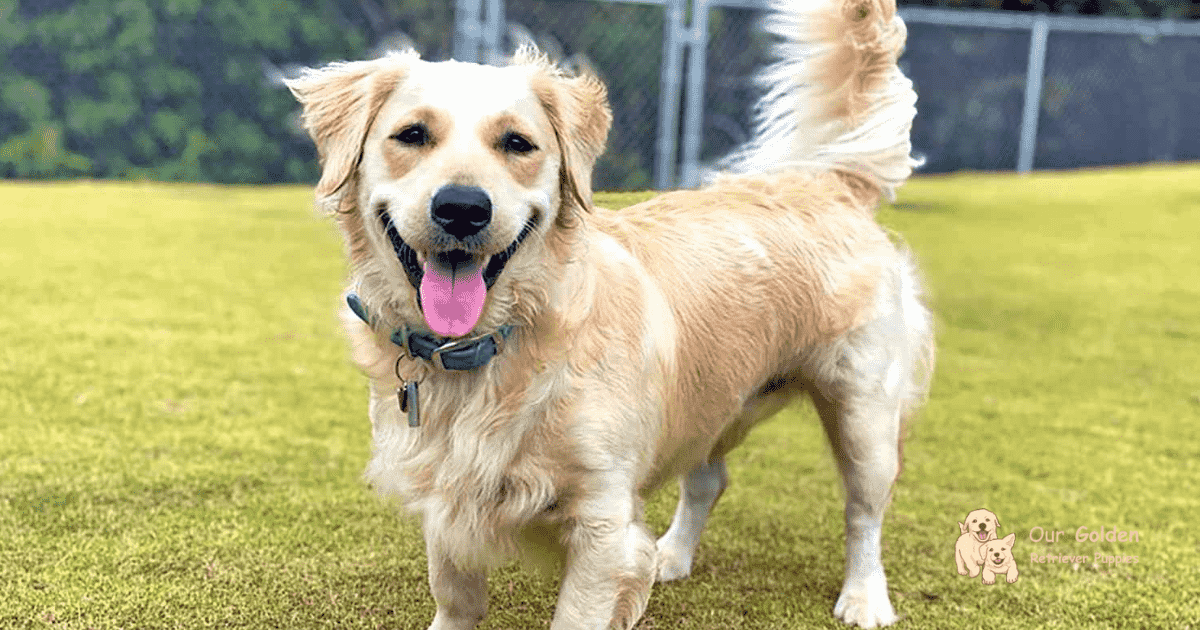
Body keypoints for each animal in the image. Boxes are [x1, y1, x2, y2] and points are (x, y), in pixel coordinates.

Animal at [285, 0, 931, 624]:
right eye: (412, 134)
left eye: (517, 143)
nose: (463, 208)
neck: (495, 347)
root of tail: (829, 183)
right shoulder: (447, 495)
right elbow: (456, 598)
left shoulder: (602, 524)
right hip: (717, 398)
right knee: (709, 479)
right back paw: (671, 555)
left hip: (864, 415)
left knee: (864, 513)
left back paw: (865, 599)